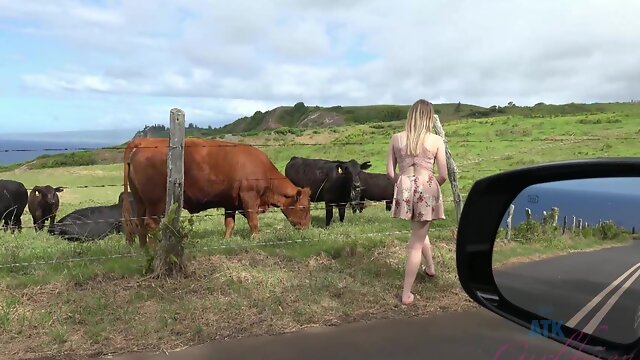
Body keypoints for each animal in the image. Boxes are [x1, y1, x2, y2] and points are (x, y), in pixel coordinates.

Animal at [122, 136, 312, 249]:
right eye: (304, 207)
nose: (307, 228)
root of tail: (144, 141)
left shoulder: (231, 202)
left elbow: (229, 223)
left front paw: (226, 241)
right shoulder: (249, 198)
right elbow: (253, 221)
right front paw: (256, 239)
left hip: (140, 201)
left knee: (140, 224)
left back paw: (143, 249)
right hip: (156, 203)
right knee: (150, 224)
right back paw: (153, 249)